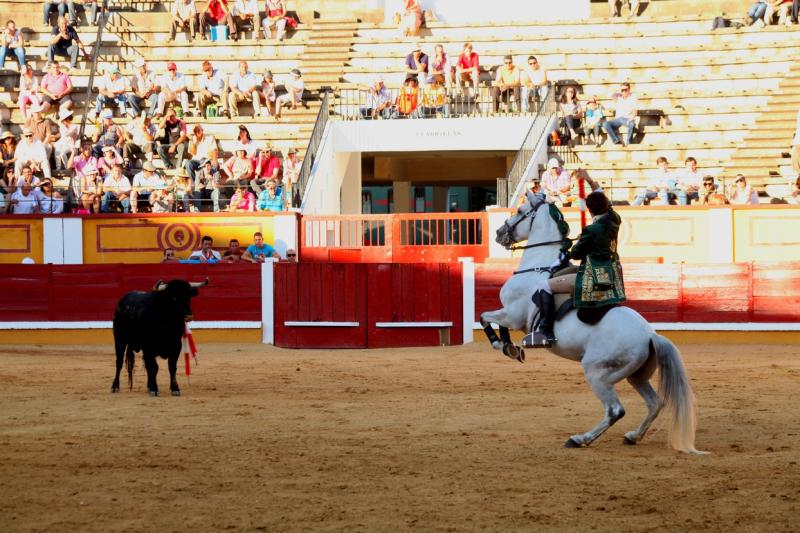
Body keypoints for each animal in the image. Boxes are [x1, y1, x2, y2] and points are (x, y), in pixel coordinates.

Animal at [478, 191, 704, 454]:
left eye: (521, 211)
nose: (499, 233)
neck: (537, 267)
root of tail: (651, 336)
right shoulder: (510, 315)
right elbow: (492, 321)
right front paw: (511, 348)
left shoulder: (512, 314)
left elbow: (485, 317)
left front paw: (503, 345)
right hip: (636, 376)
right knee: (655, 403)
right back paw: (632, 436)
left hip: (597, 372)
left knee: (615, 410)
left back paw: (579, 439)